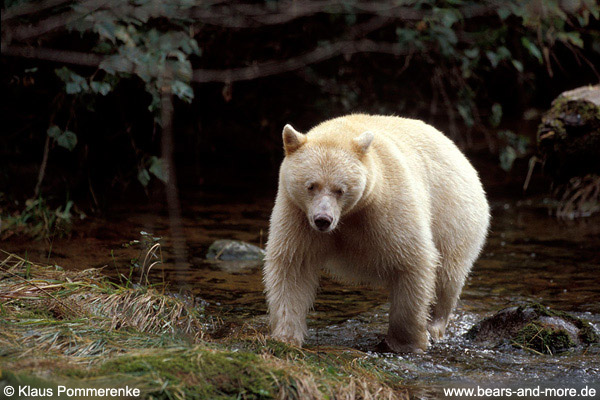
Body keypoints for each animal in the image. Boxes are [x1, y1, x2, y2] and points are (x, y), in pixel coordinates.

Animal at [264, 114, 490, 352]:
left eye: (340, 190)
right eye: (311, 186)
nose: (323, 220)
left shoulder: (386, 205)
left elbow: (412, 261)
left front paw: (407, 342)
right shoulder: (297, 214)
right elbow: (293, 265)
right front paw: (285, 337)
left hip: (454, 215)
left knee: (448, 275)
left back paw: (435, 325)